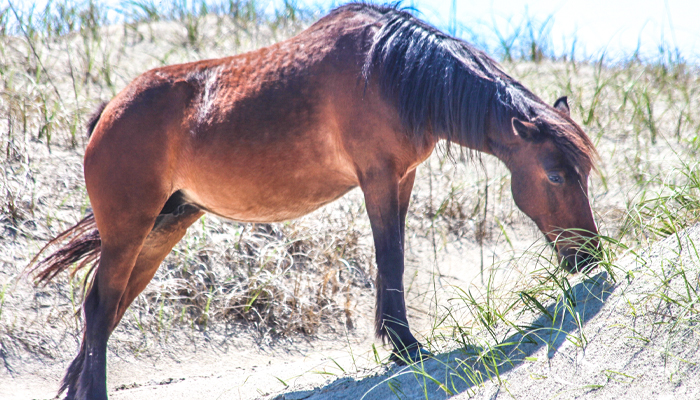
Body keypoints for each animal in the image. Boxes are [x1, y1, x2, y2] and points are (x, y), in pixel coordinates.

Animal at [31, 3, 599, 399]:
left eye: (585, 173)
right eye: (555, 176)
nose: (589, 255)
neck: (390, 71)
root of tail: (109, 110)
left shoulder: (402, 178)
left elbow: (390, 258)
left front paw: (395, 343)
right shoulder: (377, 177)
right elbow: (390, 255)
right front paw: (407, 346)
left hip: (161, 229)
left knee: (105, 309)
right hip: (130, 228)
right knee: (100, 306)